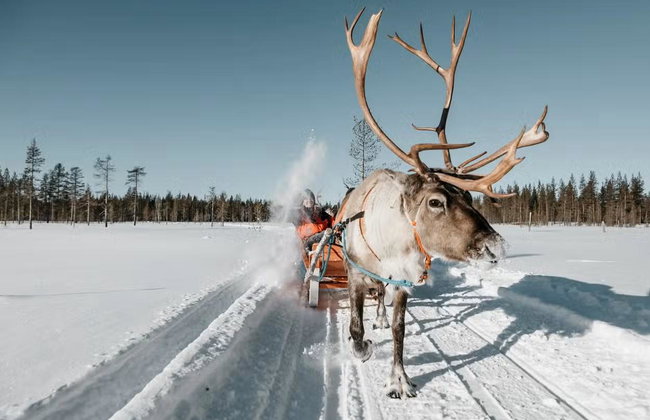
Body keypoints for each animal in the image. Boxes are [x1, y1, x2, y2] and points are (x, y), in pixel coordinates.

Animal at [338, 9, 549, 399]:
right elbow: (356, 327)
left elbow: (400, 329)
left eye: (469, 196)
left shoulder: (402, 282)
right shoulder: (355, 273)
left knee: (381, 304)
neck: (389, 243)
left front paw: (399, 379)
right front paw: (363, 349)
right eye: (436, 201)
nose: (496, 246)